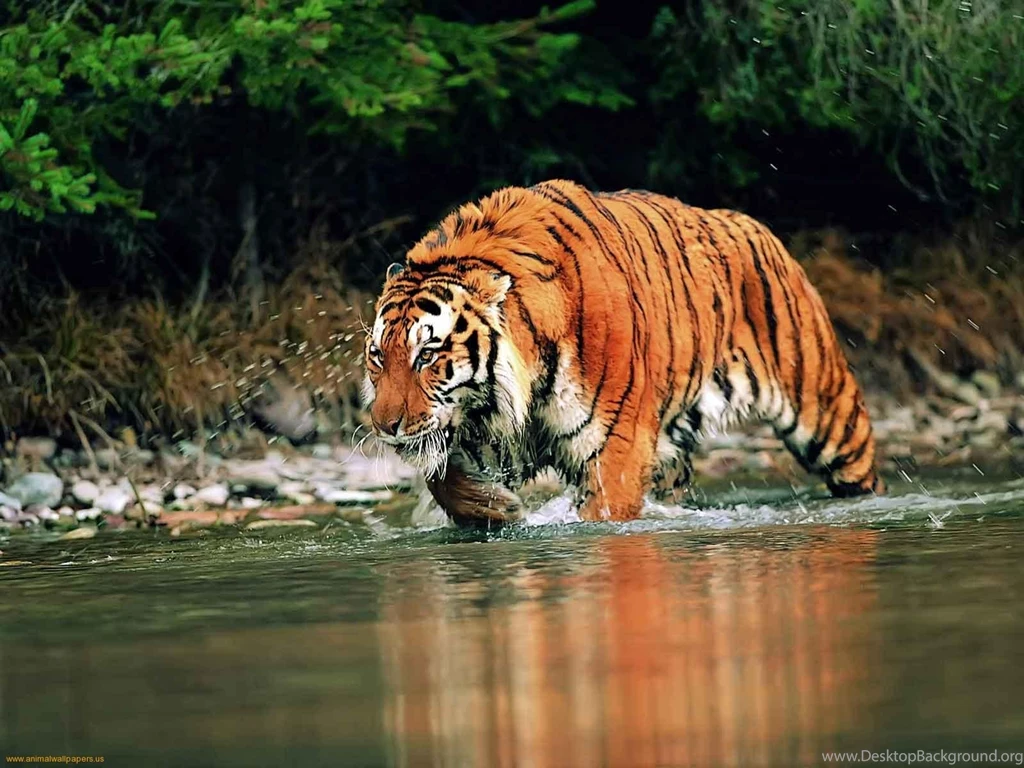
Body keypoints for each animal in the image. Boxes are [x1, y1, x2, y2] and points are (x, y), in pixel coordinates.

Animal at [362, 180, 884, 526]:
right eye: (378, 358)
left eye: (427, 356)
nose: (384, 426)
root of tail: (754, 225)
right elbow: (441, 478)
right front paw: (496, 508)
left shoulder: (614, 448)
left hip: (828, 414)